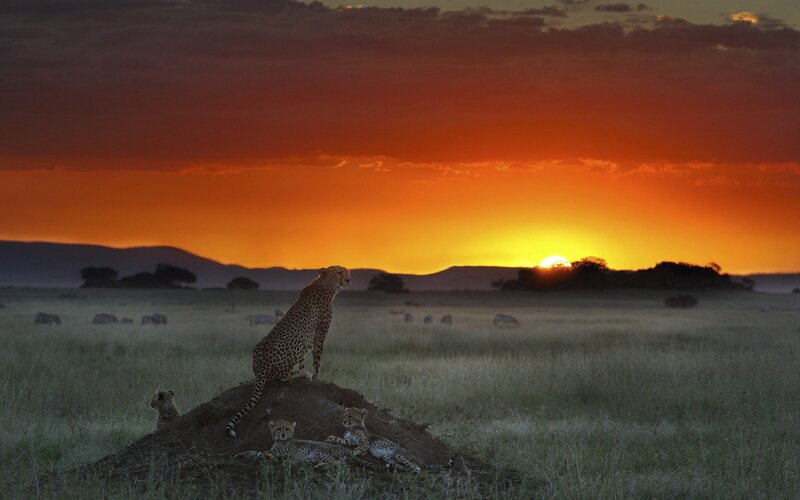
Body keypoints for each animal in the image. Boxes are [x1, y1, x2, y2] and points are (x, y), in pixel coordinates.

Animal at [226, 266, 350, 438]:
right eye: (339, 272)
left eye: (347, 271)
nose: (348, 279)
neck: (325, 284)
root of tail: (261, 368)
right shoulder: (319, 334)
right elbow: (317, 360)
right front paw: (316, 378)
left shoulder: (310, 339)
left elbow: (303, 360)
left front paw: (307, 374)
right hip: (298, 338)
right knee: (282, 377)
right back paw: (300, 374)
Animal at [234, 420, 376, 470]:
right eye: (279, 429)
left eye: (287, 429)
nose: (283, 435)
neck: (281, 441)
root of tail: (345, 449)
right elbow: (256, 452)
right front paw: (240, 455)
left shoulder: (285, 453)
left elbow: (266, 453)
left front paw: (271, 458)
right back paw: (309, 463)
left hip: (320, 452)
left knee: (340, 463)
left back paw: (319, 466)